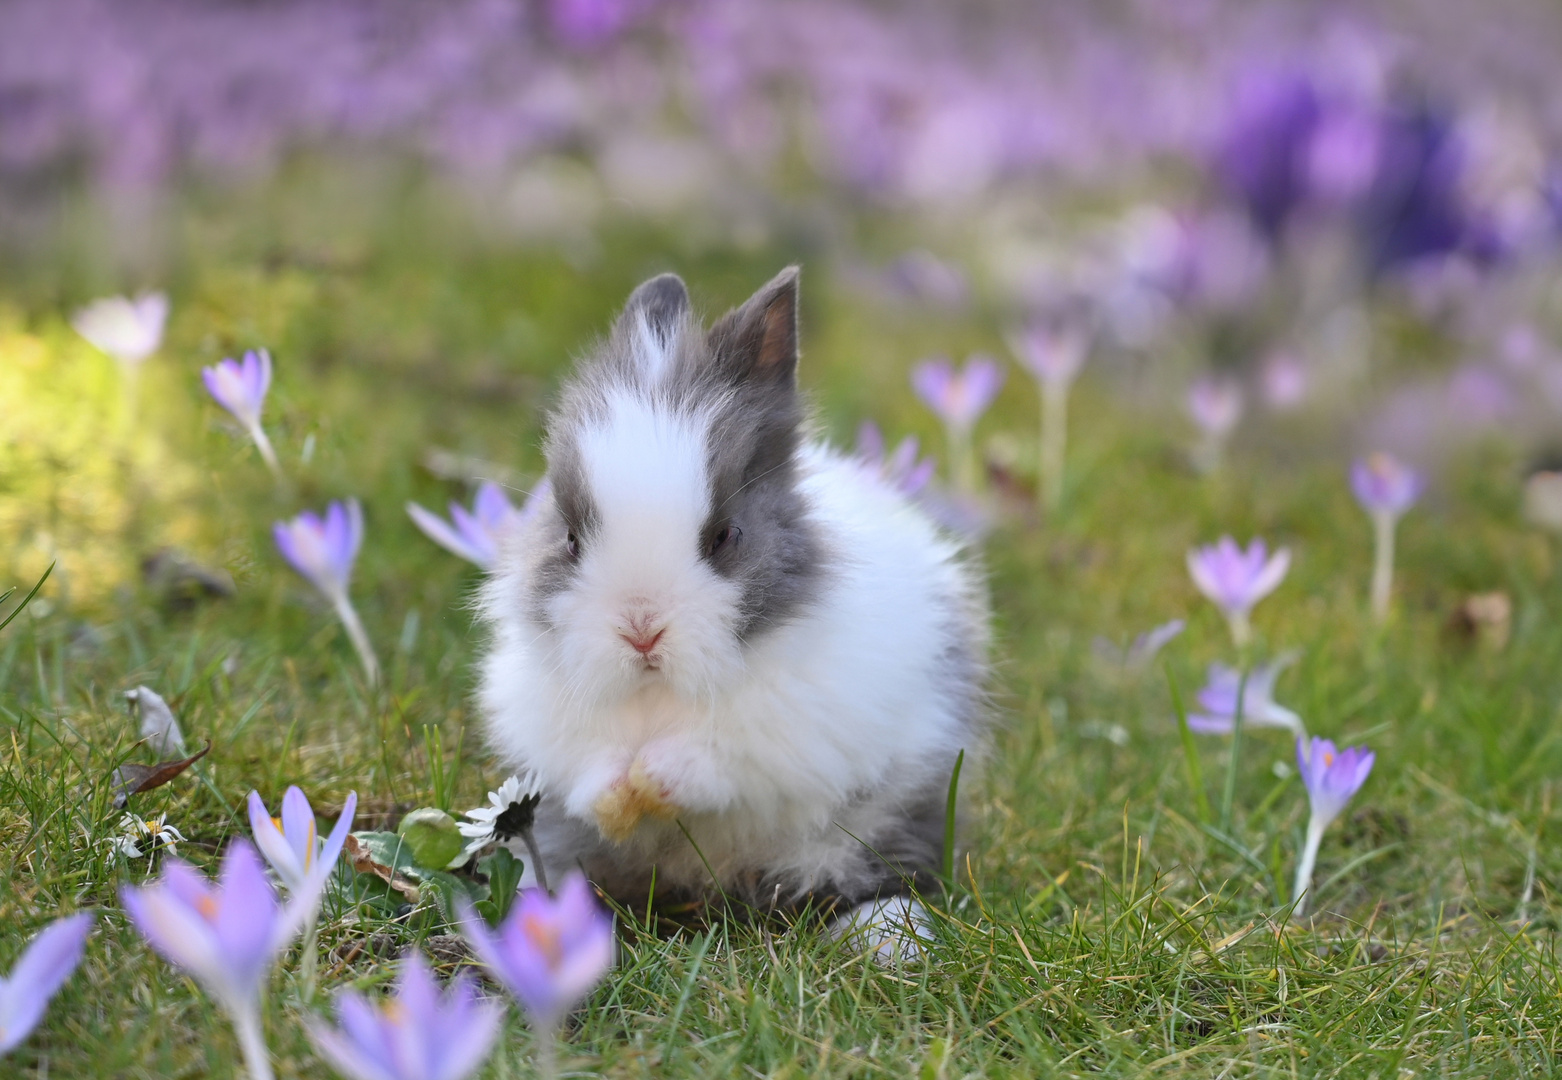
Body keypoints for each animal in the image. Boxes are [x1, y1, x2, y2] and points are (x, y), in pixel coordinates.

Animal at [471, 270, 987, 956]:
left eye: (725, 536)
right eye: (573, 539)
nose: (641, 630)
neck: (658, 695)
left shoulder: (790, 737)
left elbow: (724, 762)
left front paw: (657, 775)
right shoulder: (551, 730)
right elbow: (586, 767)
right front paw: (618, 791)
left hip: (889, 812)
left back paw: (889, 940)